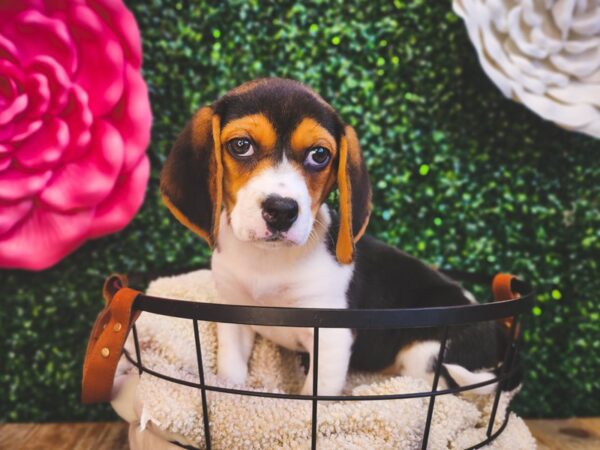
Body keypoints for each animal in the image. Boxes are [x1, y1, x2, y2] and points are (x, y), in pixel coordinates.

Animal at [161, 79, 520, 396]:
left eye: (319, 154)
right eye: (241, 145)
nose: (281, 210)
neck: (268, 260)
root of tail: (497, 329)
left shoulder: (331, 337)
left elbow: (312, 393)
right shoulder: (233, 316)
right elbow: (231, 375)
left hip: (426, 353)